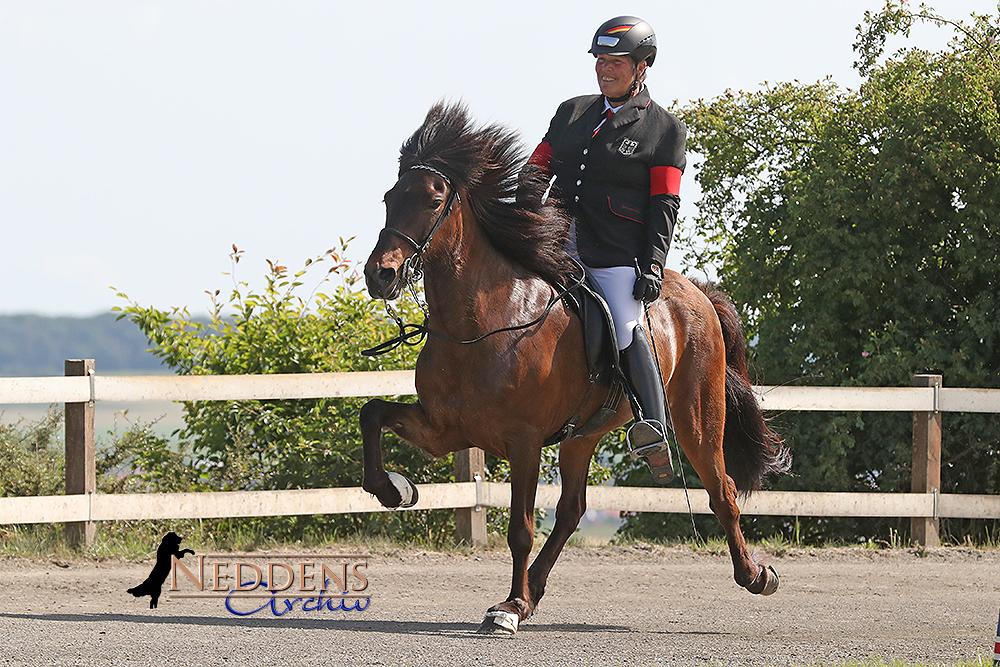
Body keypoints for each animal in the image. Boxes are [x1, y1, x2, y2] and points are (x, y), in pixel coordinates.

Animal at [360, 102, 788, 636]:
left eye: (434, 199)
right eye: (389, 197)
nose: (381, 274)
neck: (481, 321)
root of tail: (698, 293)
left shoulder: (522, 441)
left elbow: (520, 529)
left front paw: (506, 608)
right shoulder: (444, 429)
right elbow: (372, 413)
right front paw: (393, 489)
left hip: (697, 418)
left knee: (722, 491)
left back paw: (755, 575)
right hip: (583, 433)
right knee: (571, 510)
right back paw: (533, 593)